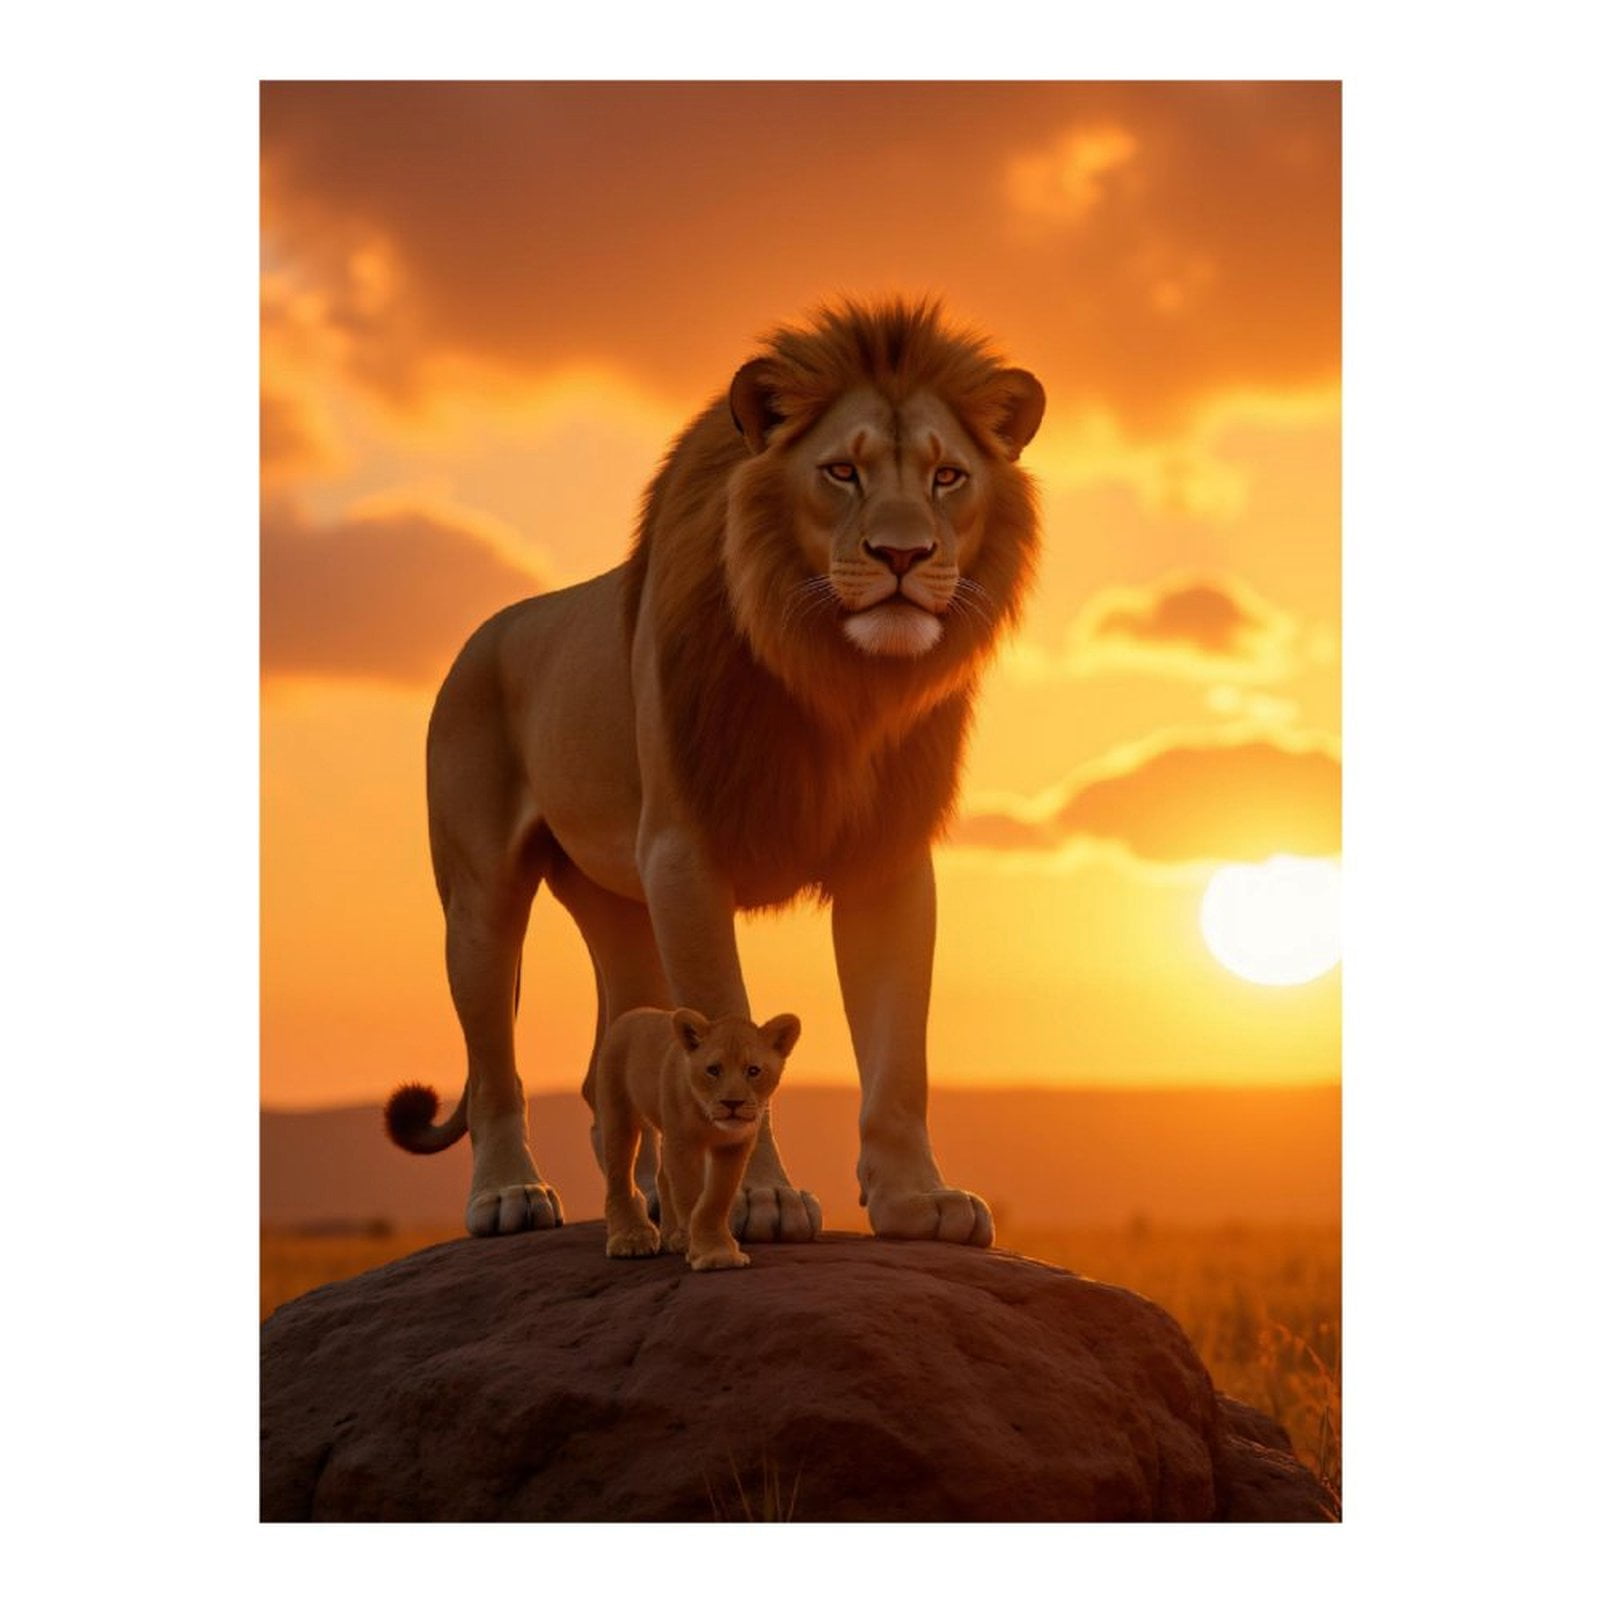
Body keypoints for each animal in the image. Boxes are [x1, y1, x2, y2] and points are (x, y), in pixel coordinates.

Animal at [599, 1007, 801, 1271]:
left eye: (753, 1071)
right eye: (713, 1070)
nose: (732, 1103)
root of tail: (632, 1014)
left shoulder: (734, 1146)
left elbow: (716, 1198)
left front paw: (716, 1249)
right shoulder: (683, 1144)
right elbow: (689, 1197)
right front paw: (707, 1252)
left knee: (662, 1176)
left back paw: (674, 1237)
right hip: (618, 1114)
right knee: (619, 1176)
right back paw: (631, 1238)